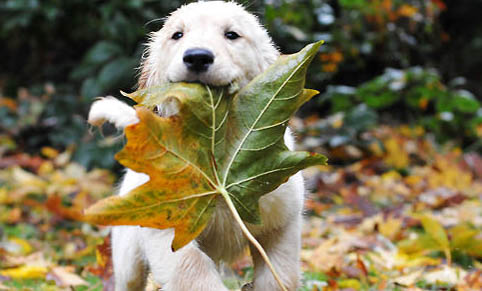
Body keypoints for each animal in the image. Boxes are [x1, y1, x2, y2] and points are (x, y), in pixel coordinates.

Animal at [88, 1, 304, 290]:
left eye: (231, 35)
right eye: (177, 35)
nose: (197, 57)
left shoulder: (282, 223)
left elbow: (279, 275)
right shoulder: (167, 227)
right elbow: (192, 270)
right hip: (128, 256)